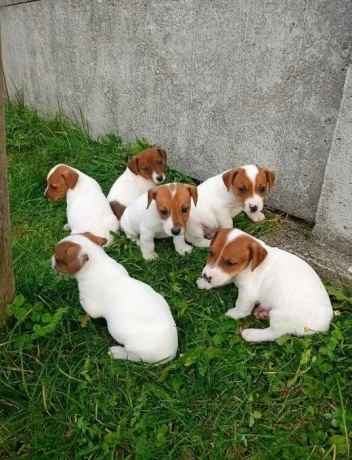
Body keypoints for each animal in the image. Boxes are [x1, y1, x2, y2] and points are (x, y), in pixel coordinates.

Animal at [51, 234, 179, 362]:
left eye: (57, 259)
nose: (51, 260)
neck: (97, 262)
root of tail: (170, 355)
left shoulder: (90, 305)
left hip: (135, 351)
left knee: (131, 357)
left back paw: (117, 352)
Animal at [198, 229, 332, 342]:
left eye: (230, 263)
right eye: (211, 252)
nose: (206, 276)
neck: (250, 266)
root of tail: (324, 325)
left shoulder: (248, 293)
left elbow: (241, 307)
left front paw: (233, 314)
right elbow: (223, 279)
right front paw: (205, 283)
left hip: (280, 317)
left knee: (274, 334)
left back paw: (252, 334)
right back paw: (262, 313)